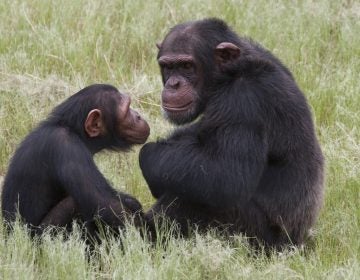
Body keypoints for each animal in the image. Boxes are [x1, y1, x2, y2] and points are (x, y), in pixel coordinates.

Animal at [1, 83, 150, 236]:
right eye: (127, 110)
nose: (138, 116)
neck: (75, 131)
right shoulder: (67, 147)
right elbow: (108, 206)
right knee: (72, 203)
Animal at [139, 18, 324, 249]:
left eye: (187, 66)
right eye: (168, 66)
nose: (174, 84)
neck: (231, 73)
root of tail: (299, 242)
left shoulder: (244, 101)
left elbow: (227, 174)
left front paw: (148, 154)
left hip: (258, 239)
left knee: (196, 195)